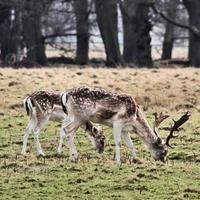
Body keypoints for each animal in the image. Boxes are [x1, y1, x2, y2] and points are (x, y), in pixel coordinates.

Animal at [60, 85, 190, 162]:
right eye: (165, 150)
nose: (163, 160)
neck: (135, 118)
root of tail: (66, 95)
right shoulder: (118, 122)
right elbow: (118, 142)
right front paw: (118, 161)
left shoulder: (125, 129)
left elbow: (130, 144)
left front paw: (136, 160)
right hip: (80, 116)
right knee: (67, 130)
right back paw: (74, 157)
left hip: (73, 116)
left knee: (67, 130)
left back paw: (72, 156)